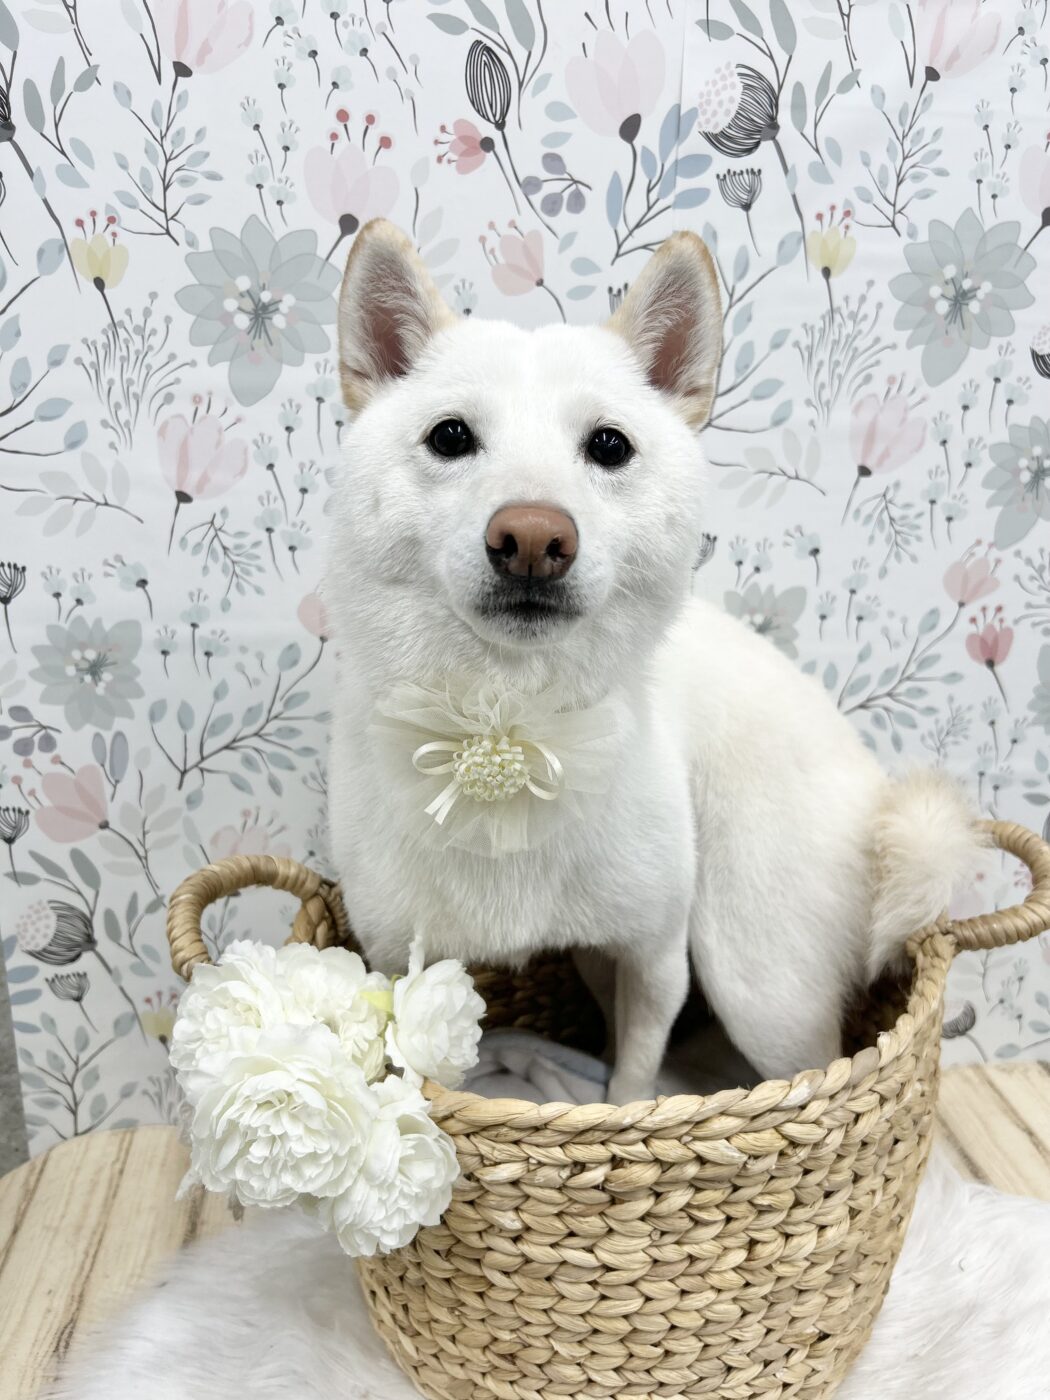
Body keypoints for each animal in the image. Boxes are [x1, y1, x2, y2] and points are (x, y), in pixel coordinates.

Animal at [324, 219, 981, 1104]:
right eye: (450, 437)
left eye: (609, 446)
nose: (532, 536)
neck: (511, 724)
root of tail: (876, 793)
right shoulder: (404, 965)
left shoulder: (656, 960)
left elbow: (632, 1083)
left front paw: (625, 1108)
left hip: (757, 982)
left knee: (804, 1056)